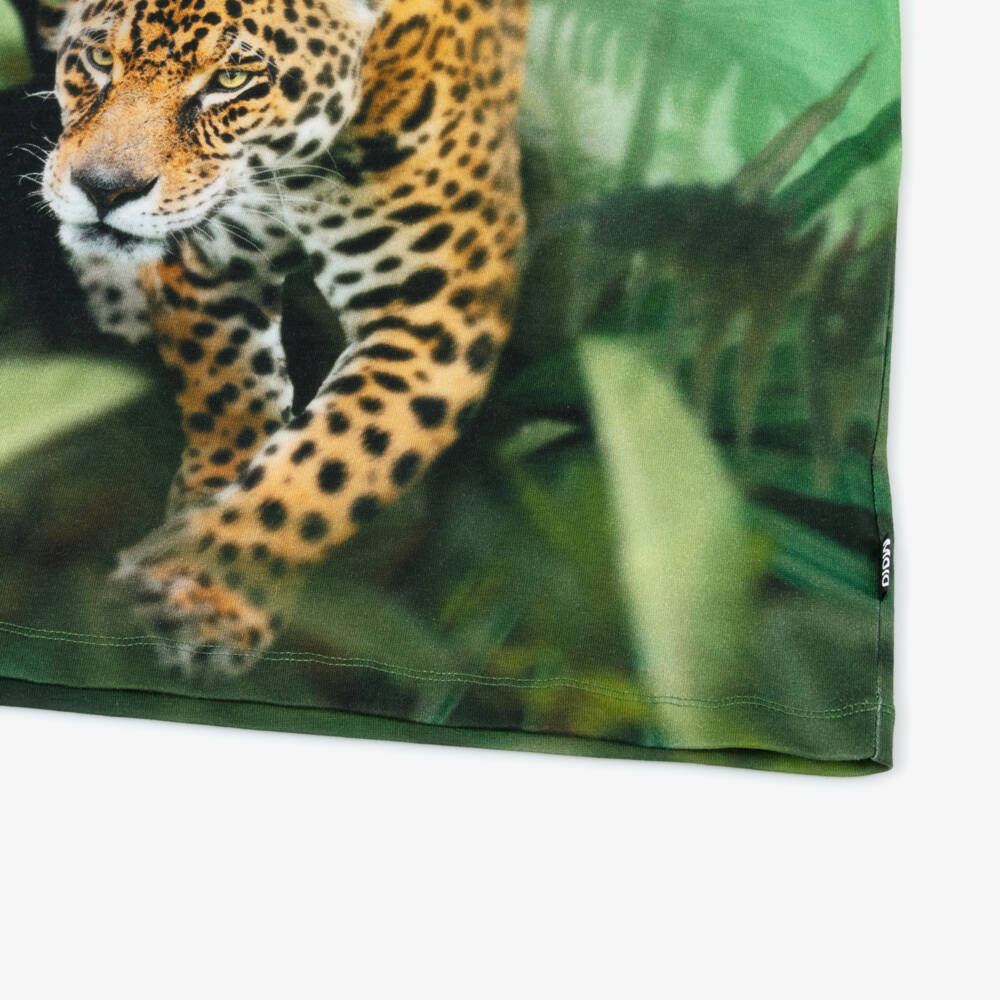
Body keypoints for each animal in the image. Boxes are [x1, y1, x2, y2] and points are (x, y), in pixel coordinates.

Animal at [36, 0, 529, 672]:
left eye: (231, 80)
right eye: (99, 57)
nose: (104, 189)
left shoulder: (440, 307)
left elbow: (332, 459)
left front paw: (206, 592)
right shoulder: (208, 261)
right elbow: (228, 395)